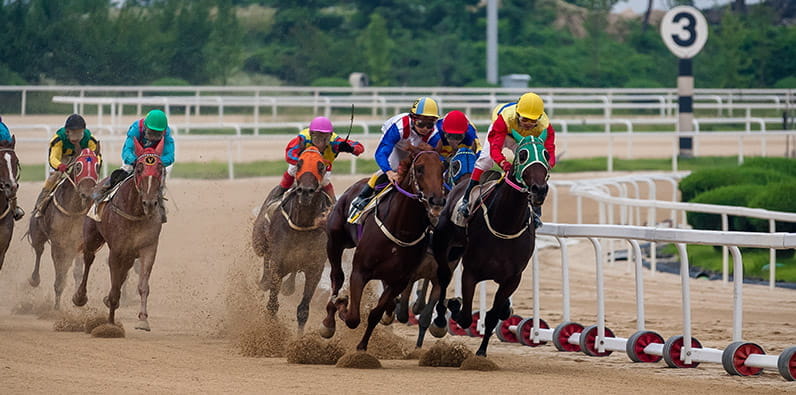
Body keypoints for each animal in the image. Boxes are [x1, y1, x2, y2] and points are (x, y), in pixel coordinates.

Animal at [28, 148, 100, 310]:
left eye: (97, 166)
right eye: (78, 166)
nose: (87, 193)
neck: (74, 210)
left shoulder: (79, 243)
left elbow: (77, 271)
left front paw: (78, 299)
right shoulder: (58, 244)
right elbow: (60, 275)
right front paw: (56, 308)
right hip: (37, 233)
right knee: (39, 250)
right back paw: (34, 279)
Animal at [73, 138, 165, 330]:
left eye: (160, 167)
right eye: (139, 168)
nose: (150, 203)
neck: (136, 212)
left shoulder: (148, 248)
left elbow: (143, 285)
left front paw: (143, 319)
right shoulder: (116, 250)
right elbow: (115, 287)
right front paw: (110, 324)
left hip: (129, 253)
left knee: (124, 270)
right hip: (92, 236)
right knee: (88, 258)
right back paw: (79, 296)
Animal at [252, 147, 332, 332]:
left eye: (321, 166)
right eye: (299, 163)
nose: (305, 191)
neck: (303, 224)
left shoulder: (315, 268)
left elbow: (303, 311)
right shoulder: (278, 265)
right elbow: (272, 305)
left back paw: (289, 286)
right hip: (259, 240)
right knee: (265, 256)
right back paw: (265, 281)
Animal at [318, 143, 444, 352]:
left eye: (443, 168)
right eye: (420, 169)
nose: (437, 201)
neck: (401, 228)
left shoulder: (399, 280)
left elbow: (375, 314)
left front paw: (362, 346)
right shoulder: (359, 272)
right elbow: (352, 317)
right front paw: (342, 302)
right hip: (335, 241)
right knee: (337, 276)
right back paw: (329, 320)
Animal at [432, 135, 552, 358]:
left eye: (547, 155)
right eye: (523, 155)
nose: (539, 190)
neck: (505, 224)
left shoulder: (512, 279)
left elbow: (492, 316)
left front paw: (481, 351)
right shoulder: (470, 273)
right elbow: (465, 316)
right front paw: (454, 304)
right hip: (443, 246)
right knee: (443, 278)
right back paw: (440, 319)